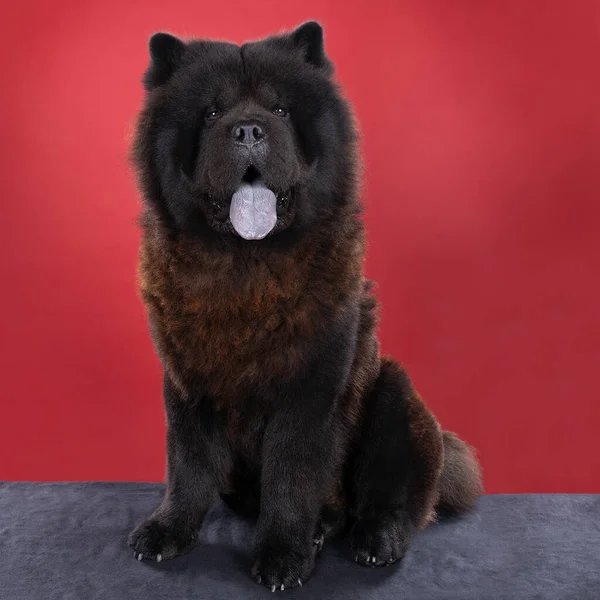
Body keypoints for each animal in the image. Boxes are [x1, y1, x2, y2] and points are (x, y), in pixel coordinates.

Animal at [127, 21, 482, 588]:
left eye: (280, 109)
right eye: (211, 113)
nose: (248, 131)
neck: (246, 268)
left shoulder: (311, 387)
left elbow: (292, 474)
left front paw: (282, 556)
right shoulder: (187, 383)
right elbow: (187, 464)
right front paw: (168, 531)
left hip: (393, 394)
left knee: (390, 498)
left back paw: (372, 541)